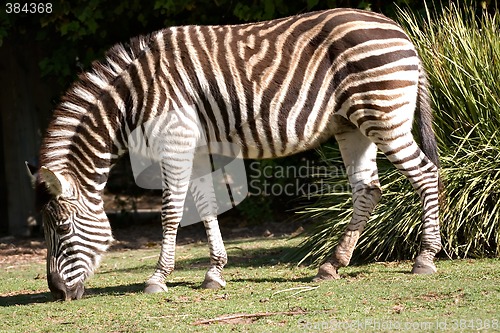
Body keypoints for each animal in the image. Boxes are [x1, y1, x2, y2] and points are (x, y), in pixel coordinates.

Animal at [27, 7, 442, 300]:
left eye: (61, 229)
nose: (57, 293)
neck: (135, 97)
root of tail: (400, 31)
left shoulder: (175, 141)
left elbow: (171, 211)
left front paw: (158, 278)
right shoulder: (194, 146)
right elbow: (206, 206)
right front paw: (214, 272)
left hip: (383, 116)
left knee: (424, 174)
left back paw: (425, 258)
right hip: (352, 127)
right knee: (368, 190)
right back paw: (332, 265)